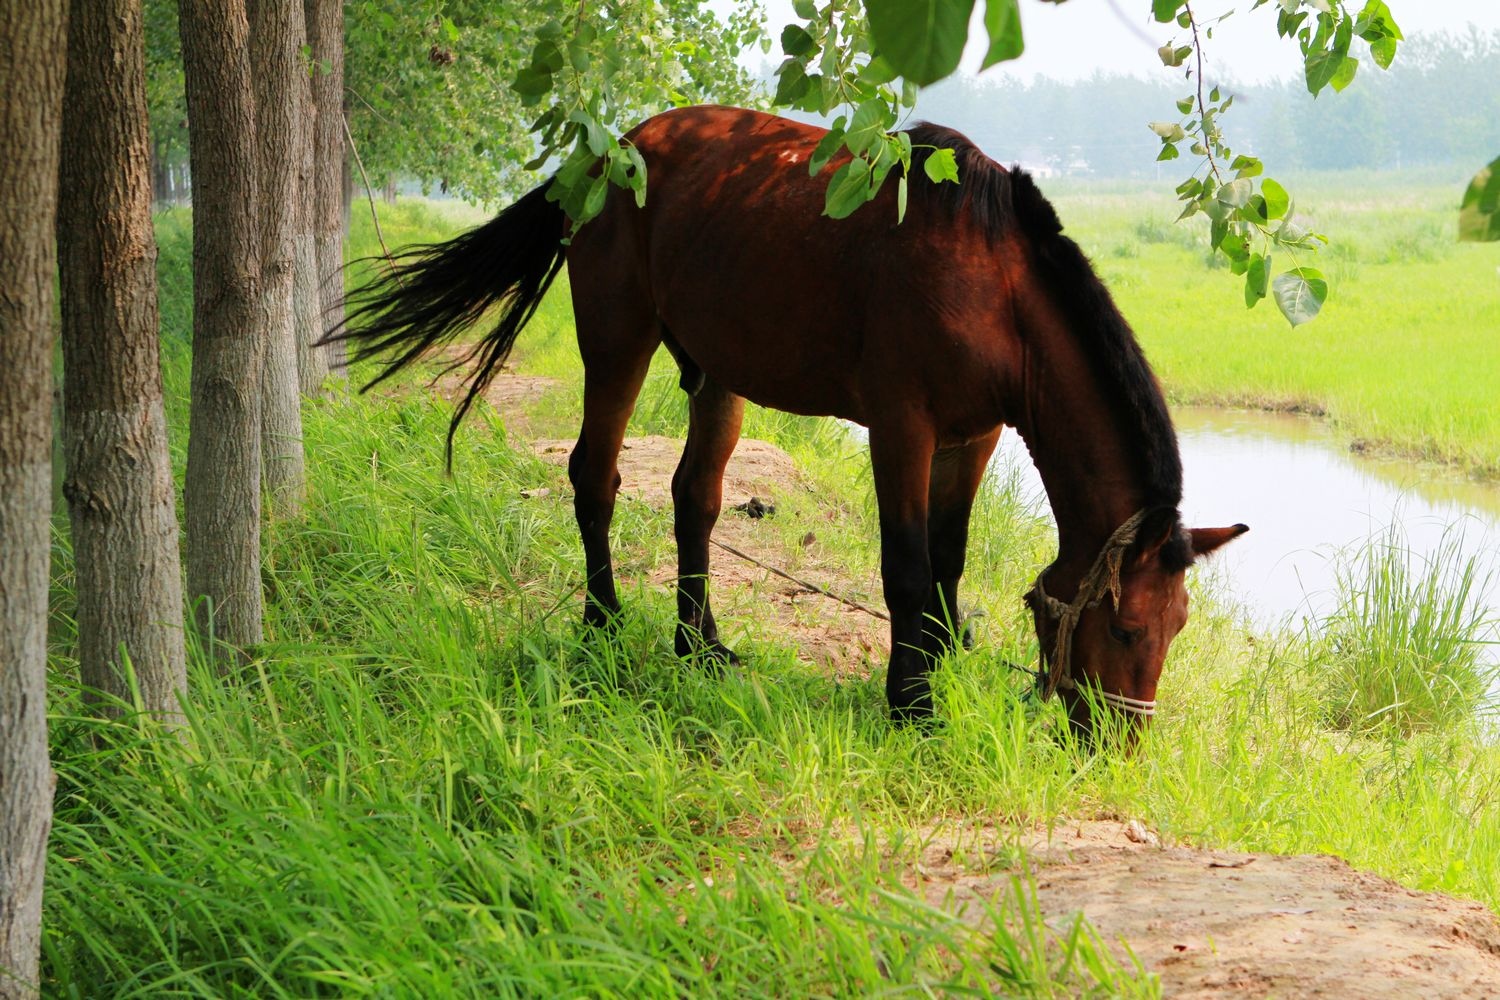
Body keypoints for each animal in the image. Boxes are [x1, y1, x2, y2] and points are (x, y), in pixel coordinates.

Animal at [334, 105, 1248, 740]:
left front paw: (940, 670)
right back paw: (604, 627)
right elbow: (907, 568)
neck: (995, 283)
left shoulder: (976, 435)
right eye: (1126, 626)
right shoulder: (901, 426)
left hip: (718, 376)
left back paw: (699, 645)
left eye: (1179, 627)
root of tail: (609, 149)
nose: (1117, 743)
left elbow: (948, 563)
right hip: (617, 341)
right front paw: (912, 705)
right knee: (595, 478)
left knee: (694, 498)